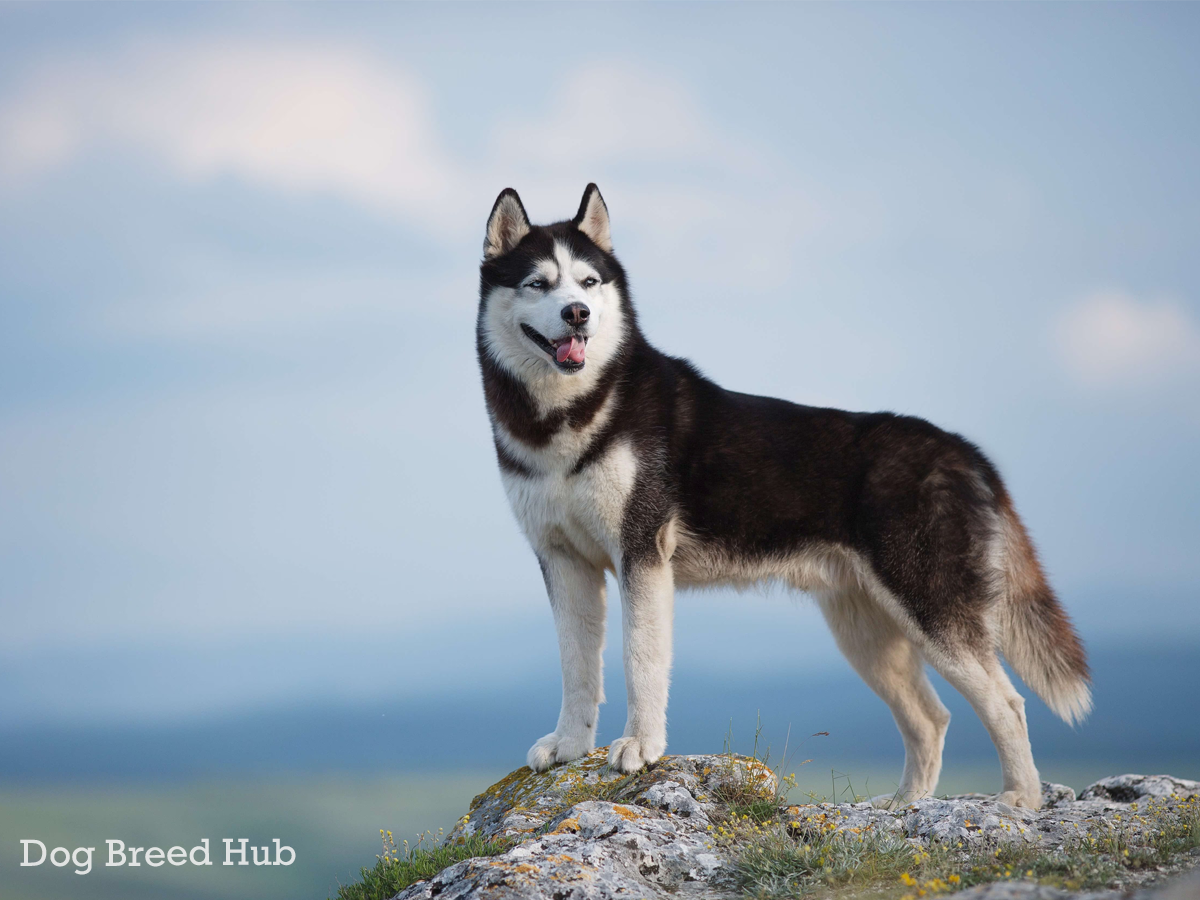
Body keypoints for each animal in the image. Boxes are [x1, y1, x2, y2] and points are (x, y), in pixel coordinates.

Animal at [475, 183, 1089, 811]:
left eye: (589, 282)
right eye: (539, 283)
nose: (577, 314)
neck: (569, 415)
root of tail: (965, 449)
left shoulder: (641, 553)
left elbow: (639, 659)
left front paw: (640, 746)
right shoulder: (563, 561)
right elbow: (576, 667)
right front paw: (570, 745)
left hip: (931, 607)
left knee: (1007, 704)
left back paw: (1019, 801)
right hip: (865, 629)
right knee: (930, 717)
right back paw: (905, 805)